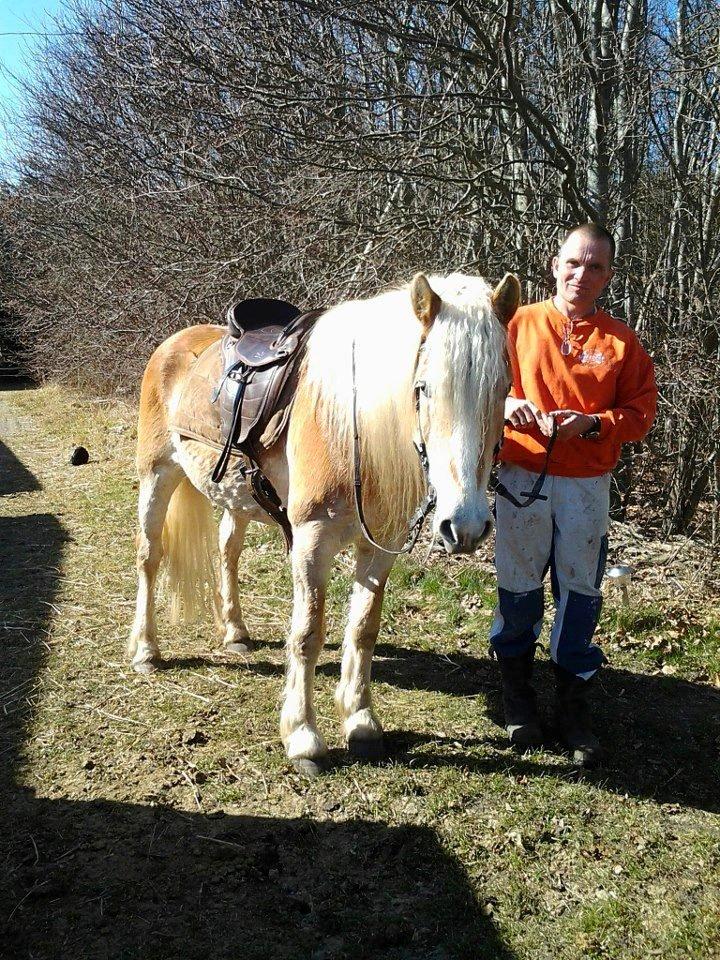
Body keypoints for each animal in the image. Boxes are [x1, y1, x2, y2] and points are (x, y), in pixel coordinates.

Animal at [128, 268, 516, 772]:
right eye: (424, 387)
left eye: (503, 389)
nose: (464, 526)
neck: (352, 431)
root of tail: (175, 342)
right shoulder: (313, 540)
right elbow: (307, 634)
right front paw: (303, 736)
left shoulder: (380, 545)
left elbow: (363, 628)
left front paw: (360, 720)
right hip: (158, 475)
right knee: (149, 557)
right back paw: (146, 650)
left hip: (235, 499)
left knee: (227, 551)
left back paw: (235, 631)